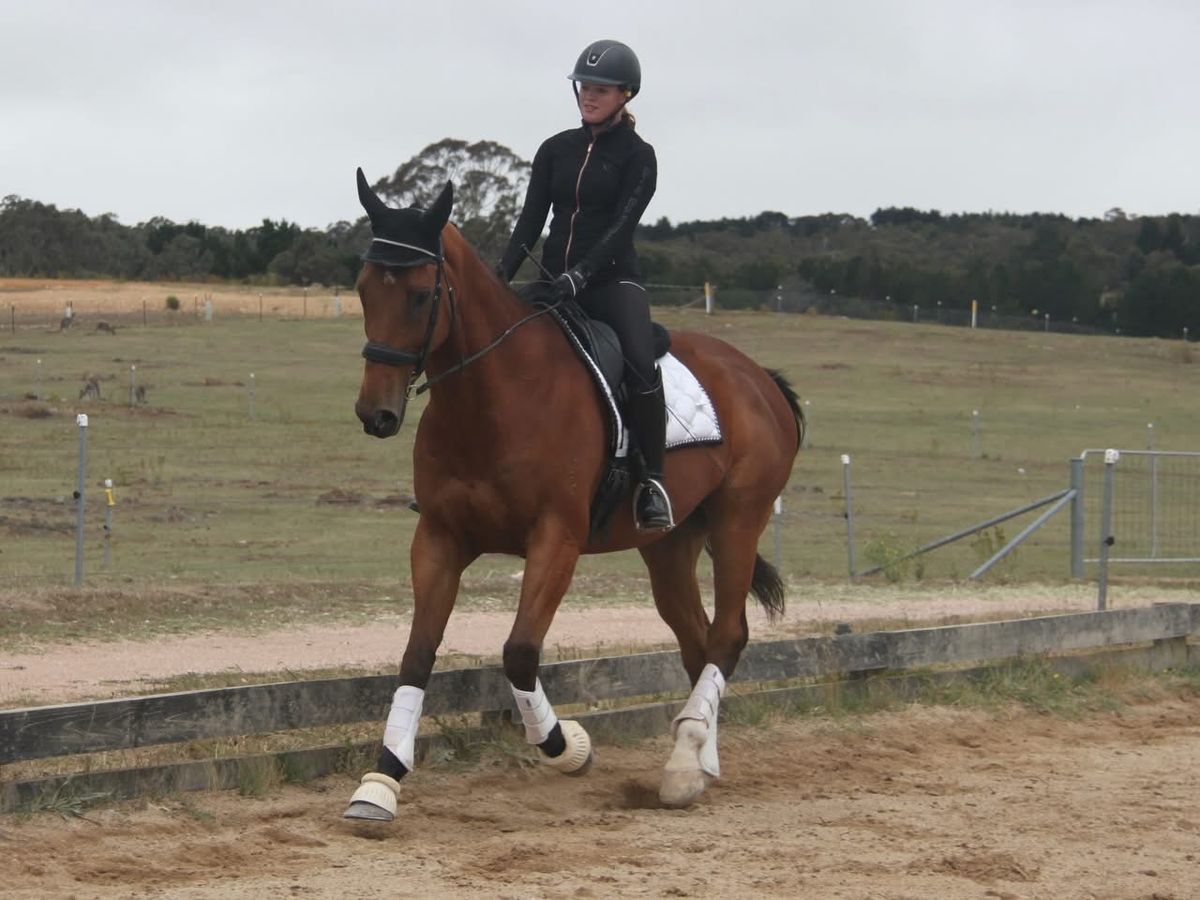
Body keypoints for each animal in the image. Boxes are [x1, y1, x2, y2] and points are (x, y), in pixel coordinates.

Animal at [344, 168, 804, 821]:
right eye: (363, 291)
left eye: (418, 295)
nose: (375, 414)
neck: (492, 399)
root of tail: (758, 376)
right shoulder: (438, 537)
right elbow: (417, 654)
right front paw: (380, 782)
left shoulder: (555, 539)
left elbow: (519, 652)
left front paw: (569, 748)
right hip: (669, 544)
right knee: (697, 640)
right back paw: (697, 763)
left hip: (740, 518)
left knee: (728, 635)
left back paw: (685, 765)